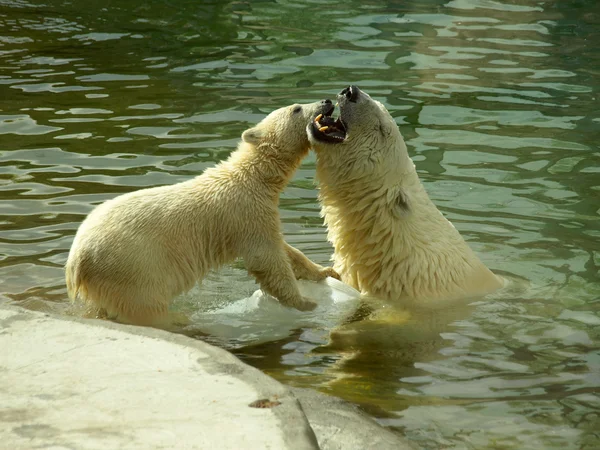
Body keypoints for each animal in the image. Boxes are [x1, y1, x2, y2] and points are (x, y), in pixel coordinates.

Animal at [67, 100, 338, 326]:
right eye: (296, 108)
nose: (326, 101)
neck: (253, 176)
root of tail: (76, 259)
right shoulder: (247, 213)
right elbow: (267, 259)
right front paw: (305, 302)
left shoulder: (257, 214)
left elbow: (285, 249)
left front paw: (325, 271)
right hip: (131, 265)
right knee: (145, 306)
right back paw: (178, 318)